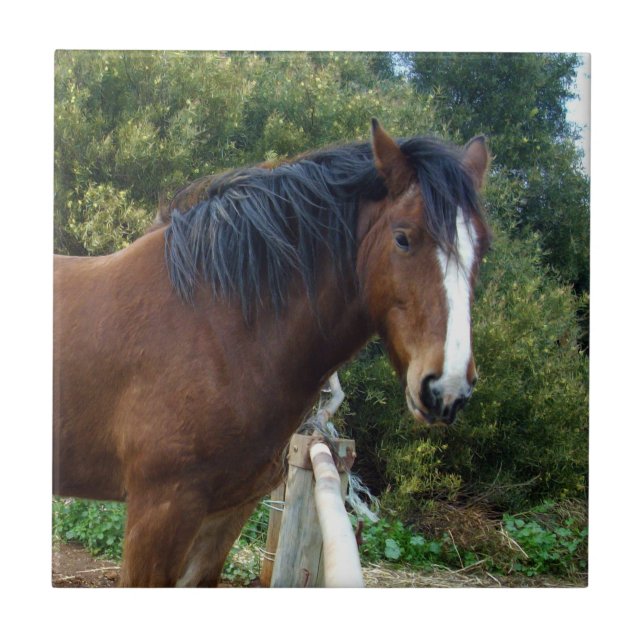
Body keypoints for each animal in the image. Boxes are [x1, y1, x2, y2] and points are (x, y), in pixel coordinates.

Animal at [53, 120, 490, 586]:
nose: (446, 389)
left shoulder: (228, 509)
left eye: (481, 249)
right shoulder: (160, 510)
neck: (218, 324)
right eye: (403, 238)